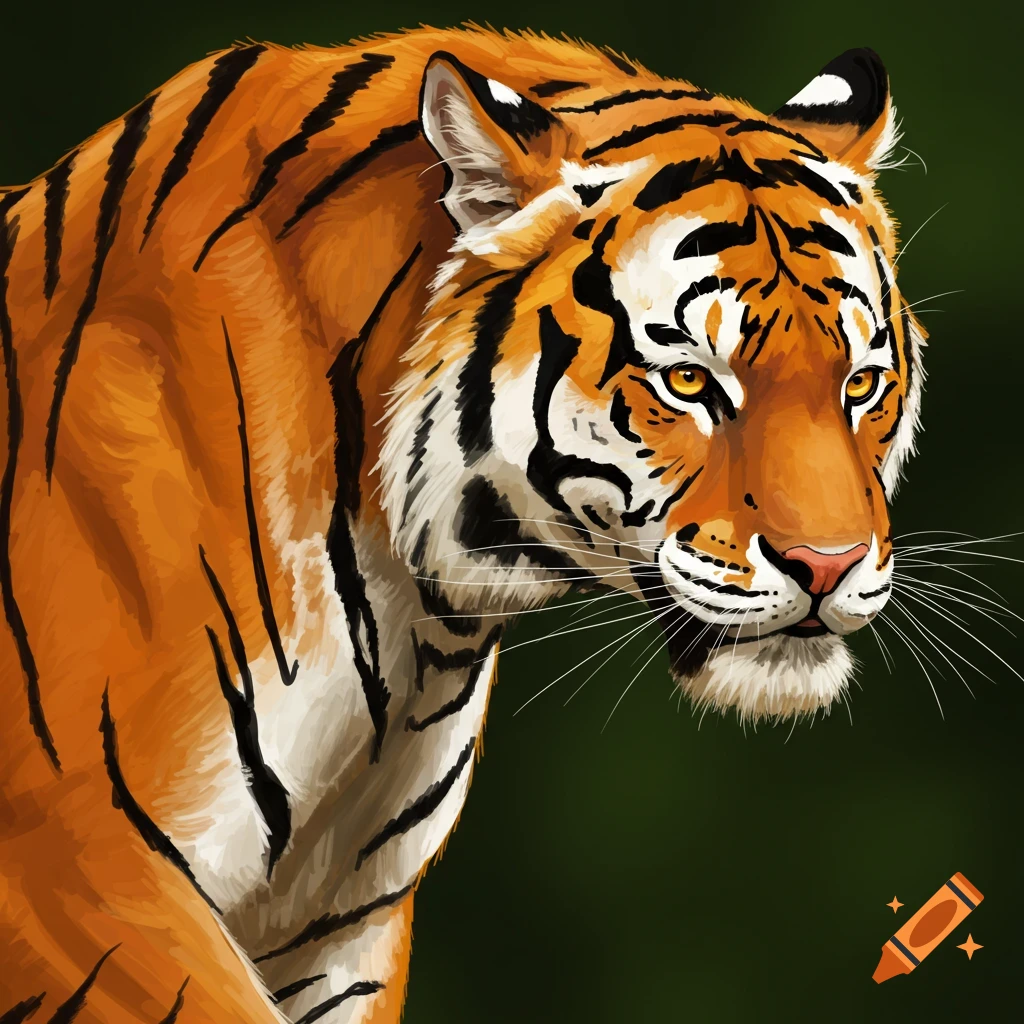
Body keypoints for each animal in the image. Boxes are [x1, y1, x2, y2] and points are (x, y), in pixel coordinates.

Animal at [0, 23, 923, 1023]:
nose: (827, 565)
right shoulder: (75, 864)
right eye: (689, 381)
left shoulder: (343, 935)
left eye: (860, 384)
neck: (415, 623)